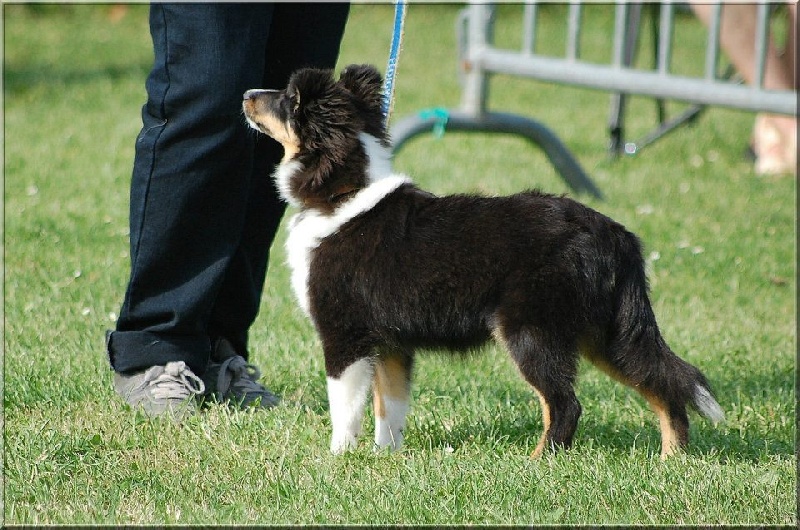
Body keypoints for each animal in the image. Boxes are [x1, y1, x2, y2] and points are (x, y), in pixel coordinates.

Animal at [241, 64, 720, 456]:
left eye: (288, 97)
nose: (246, 93)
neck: (343, 194)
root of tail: (617, 235)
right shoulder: (392, 343)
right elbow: (390, 407)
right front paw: (385, 457)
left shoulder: (345, 333)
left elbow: (345, 407)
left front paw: (338, 458)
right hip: (605, 331)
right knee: (664, 384)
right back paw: (671, 460)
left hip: (532, 330)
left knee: (565, 405)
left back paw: (539, 463)